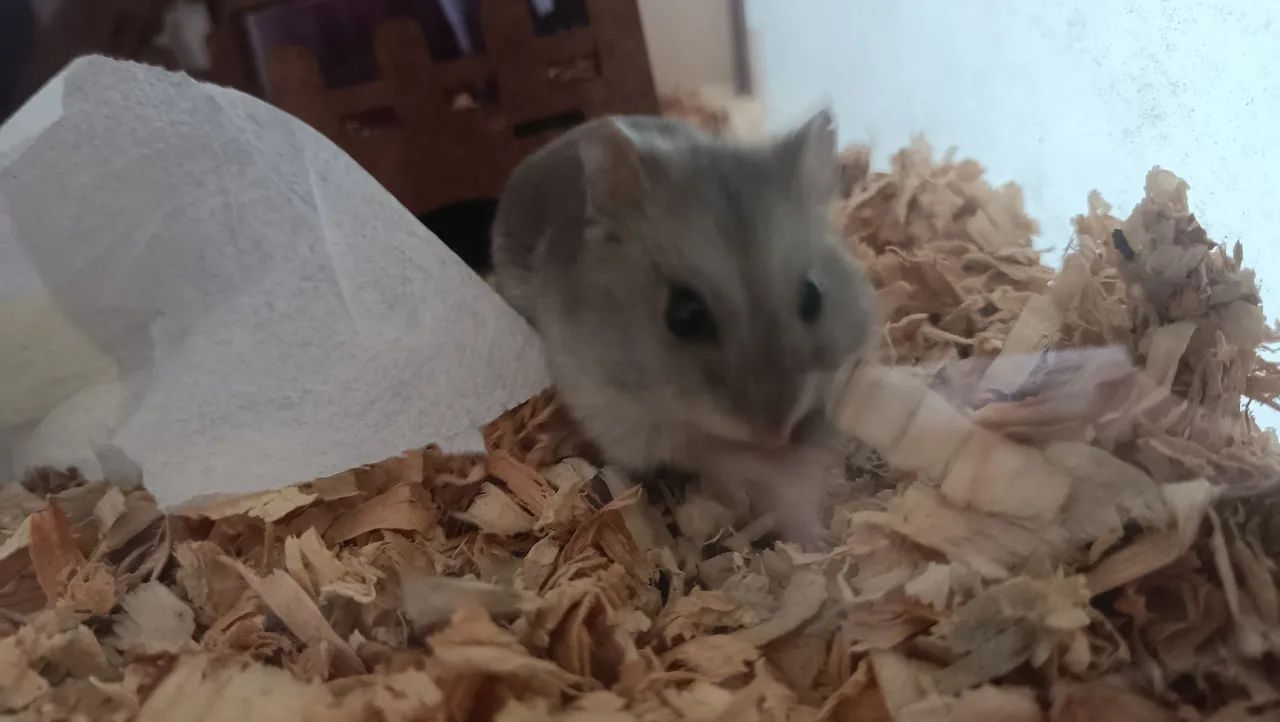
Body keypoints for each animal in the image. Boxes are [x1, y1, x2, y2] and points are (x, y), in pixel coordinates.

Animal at [491, 111, 875, 543]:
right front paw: (783, 475)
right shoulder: (623, 415)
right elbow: (720, 455)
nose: (775, 433)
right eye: (685, 315)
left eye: (812, 297)